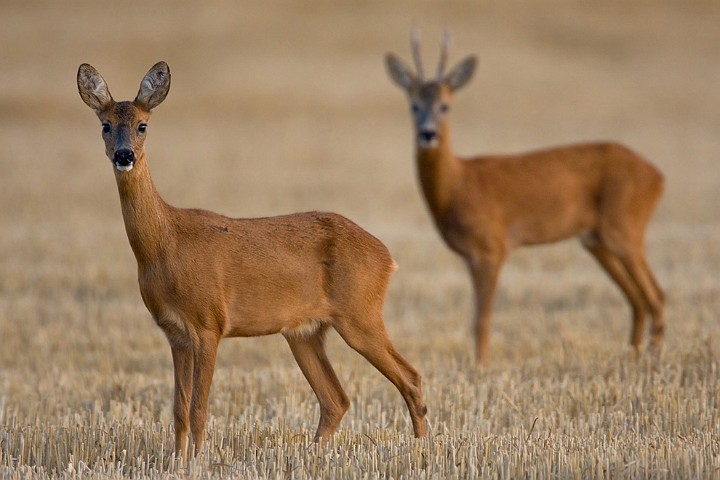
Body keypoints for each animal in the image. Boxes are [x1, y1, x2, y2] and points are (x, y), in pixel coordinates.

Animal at [77, 62, 428, 456]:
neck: (167, 243)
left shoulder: (209, 323)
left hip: (360, 313)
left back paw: (422, 449)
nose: (124, 156)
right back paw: (313, 453)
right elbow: (178, 410)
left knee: (410, 378)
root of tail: (387, 257)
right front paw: (177, 460)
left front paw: (199, 460)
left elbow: (199, 408)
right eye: (105, 125)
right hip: (305, 332)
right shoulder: (174, 332)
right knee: (336, 399)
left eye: (142, 125)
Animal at [386, 29, 668, 364]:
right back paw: (633, 357)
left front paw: (481, 366)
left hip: (624, 228)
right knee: (637, 298)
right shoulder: (471, 255)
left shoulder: (492, 247)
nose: (428, 134)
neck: (458, 185)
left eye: (445, 105)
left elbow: (482, 317)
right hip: (596, 239)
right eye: (413, 105)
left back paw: (652, 359)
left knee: (656, 295)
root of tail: (657, 176)